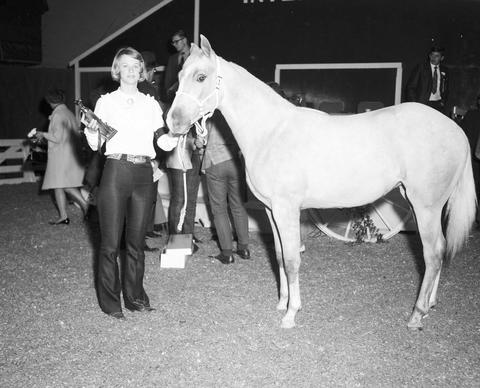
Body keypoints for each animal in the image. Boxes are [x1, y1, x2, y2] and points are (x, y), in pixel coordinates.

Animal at [166, 34, 476, 328]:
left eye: (201, 77)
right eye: (180, 76)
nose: (173, 122)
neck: (272, 131)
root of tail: (456, 129)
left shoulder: (286, 210)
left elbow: (292, 260)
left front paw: (291, 314)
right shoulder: (271, 211)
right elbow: (279, 256)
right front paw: (281, 303)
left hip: (425, 207)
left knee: (432, 253)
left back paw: (417, 314)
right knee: (440, 249)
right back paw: (430, 305)